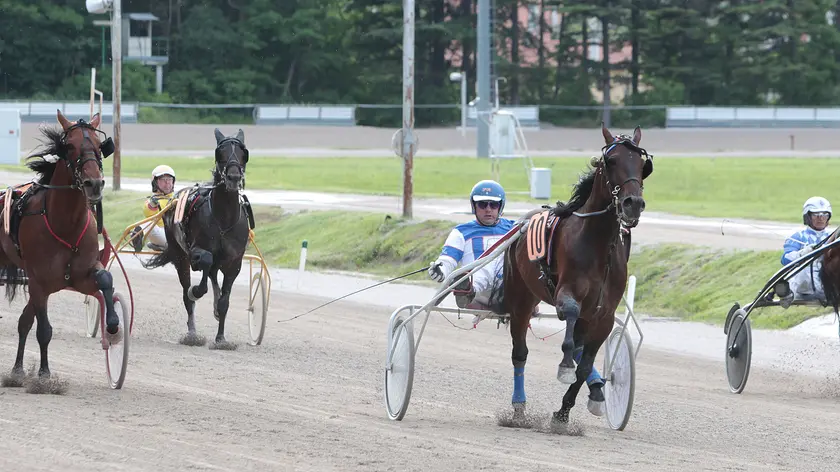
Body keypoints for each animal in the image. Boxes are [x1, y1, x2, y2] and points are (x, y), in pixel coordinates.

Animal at [0, 109, 121, 380]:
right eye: (70, 145)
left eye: (98, 144)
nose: (93, 183)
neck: (65, 224)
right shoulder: (39, 281)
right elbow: (44, 330)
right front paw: (44, 374)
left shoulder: (81, 275)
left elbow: (105, 279)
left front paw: (113, 324)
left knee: (24, 321)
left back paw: (17, 369)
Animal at [144, 128, 251, 346]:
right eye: (220, 152)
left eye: (243, 153)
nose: (233, 177)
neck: (223, 218)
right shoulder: (194, 250)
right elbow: (204, 265)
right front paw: (196, 291)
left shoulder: (234, 262)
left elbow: (225, 301)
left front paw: (221, 338)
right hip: (179, 255)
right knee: (189, 292)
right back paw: (192, 332)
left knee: (212, 276)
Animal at [502, 123, 652, 422]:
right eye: (611, 160)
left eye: (643, 164)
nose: (633, 203)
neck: (597, 244)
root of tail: (521, 223)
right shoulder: (567, 292)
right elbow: (569, 319)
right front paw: (565, 366)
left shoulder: (603, 313)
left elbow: (584, 364)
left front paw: (563, 412)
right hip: (521, 299)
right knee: (520, 352)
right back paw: (519, 405)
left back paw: (596, 392)